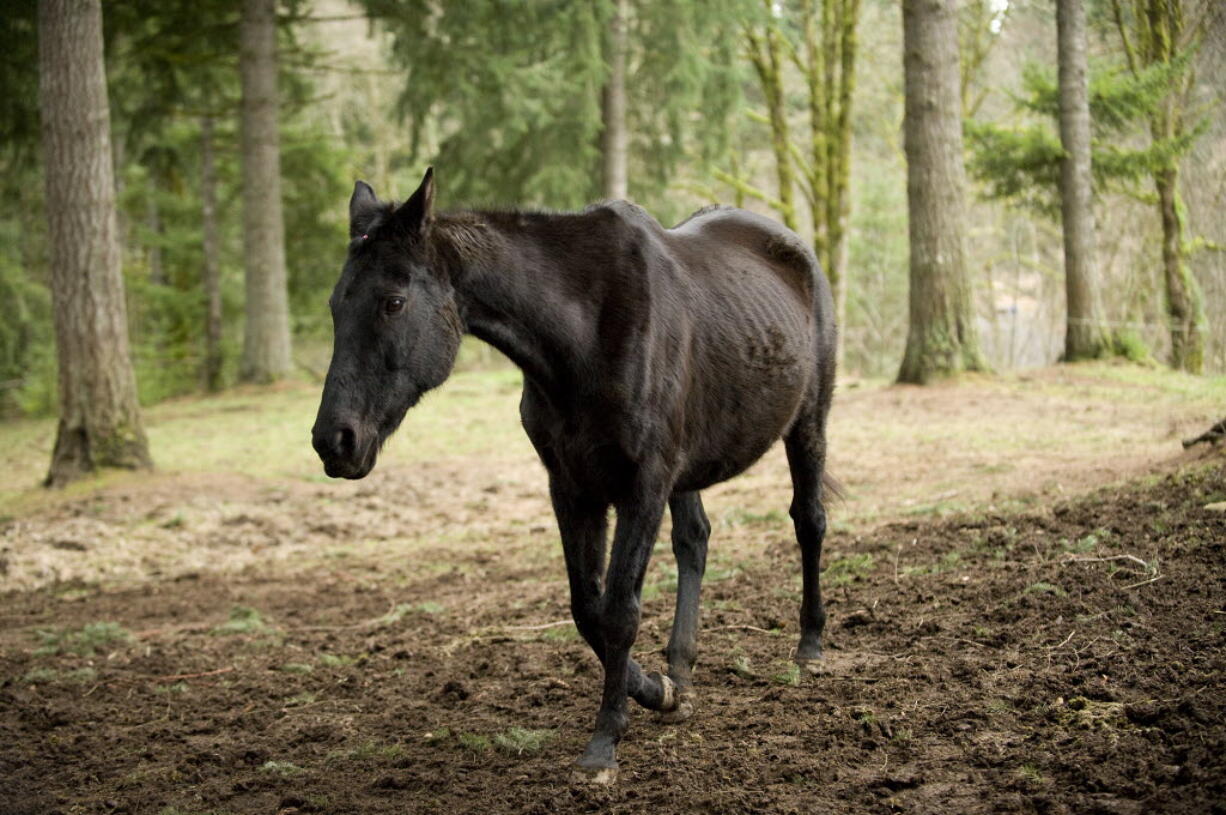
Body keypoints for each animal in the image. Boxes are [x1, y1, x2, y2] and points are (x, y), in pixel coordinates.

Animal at [311, 170, 838, 784]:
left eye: (393, 302)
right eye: (335, 305)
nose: (334, 441)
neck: (584, 335)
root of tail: (794, 248)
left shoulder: (642, 488)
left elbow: (619, 612)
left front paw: (604, 743)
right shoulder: (571, 488)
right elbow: (588, 610)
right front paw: (656, 691)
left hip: (807, 422)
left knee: (808, 521)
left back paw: (810, 645)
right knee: (695, 541)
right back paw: (680, 672)